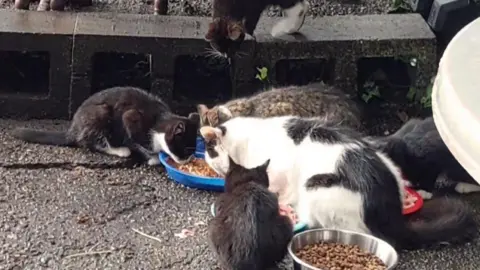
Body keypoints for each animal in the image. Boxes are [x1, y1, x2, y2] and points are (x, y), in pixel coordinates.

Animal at [12, 87, 199, 166]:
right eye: (185, 150)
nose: (188, 160)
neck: (159, 120)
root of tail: (72, 129)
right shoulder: (130, 119)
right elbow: (138, 142)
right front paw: (153, 157)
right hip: (100, 114)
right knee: (91, 141)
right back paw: (120, 150)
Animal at [199, 115, 476, 250]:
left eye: (210, 152)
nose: (207, 160)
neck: (246, 143)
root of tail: (392, 215)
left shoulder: (275, 174)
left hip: (317, 186)